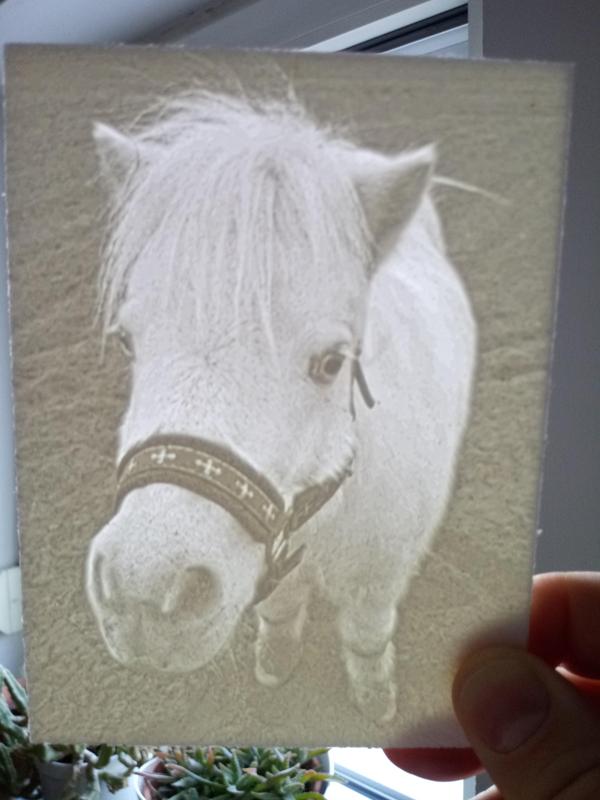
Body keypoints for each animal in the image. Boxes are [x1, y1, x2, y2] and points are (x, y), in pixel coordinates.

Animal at [86, 89, 476, 723]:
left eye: (332, 362)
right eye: (127, 341)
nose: (145, 594)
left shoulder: (378, 580)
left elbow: (366, 636)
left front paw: (376, 699)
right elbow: (280, 609)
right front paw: (276, 660)